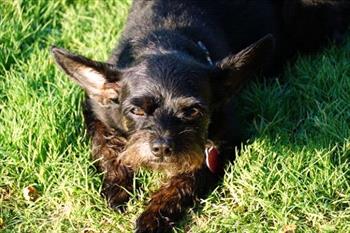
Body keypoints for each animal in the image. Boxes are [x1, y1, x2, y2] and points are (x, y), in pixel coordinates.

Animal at [50, 0, 348, 232]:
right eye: (136, 110)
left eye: (193, 111)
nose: (162, 147)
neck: (162, 42)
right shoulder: (96, 111)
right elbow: (105, 148)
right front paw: (118, 189)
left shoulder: (222, 144)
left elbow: (187, 179)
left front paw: (153, 216)